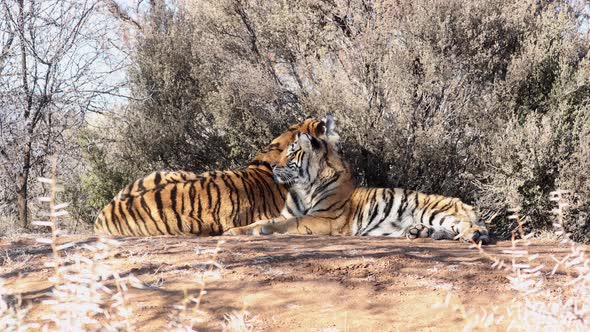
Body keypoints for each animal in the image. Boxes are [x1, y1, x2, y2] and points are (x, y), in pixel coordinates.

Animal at [224, 131, 492, 245]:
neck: (303, 186)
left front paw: (260, 231)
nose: (272, 166)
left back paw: (470, 236)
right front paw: (234, 231)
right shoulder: (286, 213)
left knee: (470, 227)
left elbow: (285, 224)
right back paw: (420, 232)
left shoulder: (324, 219)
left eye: (291, 152)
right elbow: (261, 220)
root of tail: (466, 204)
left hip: (434, 211)